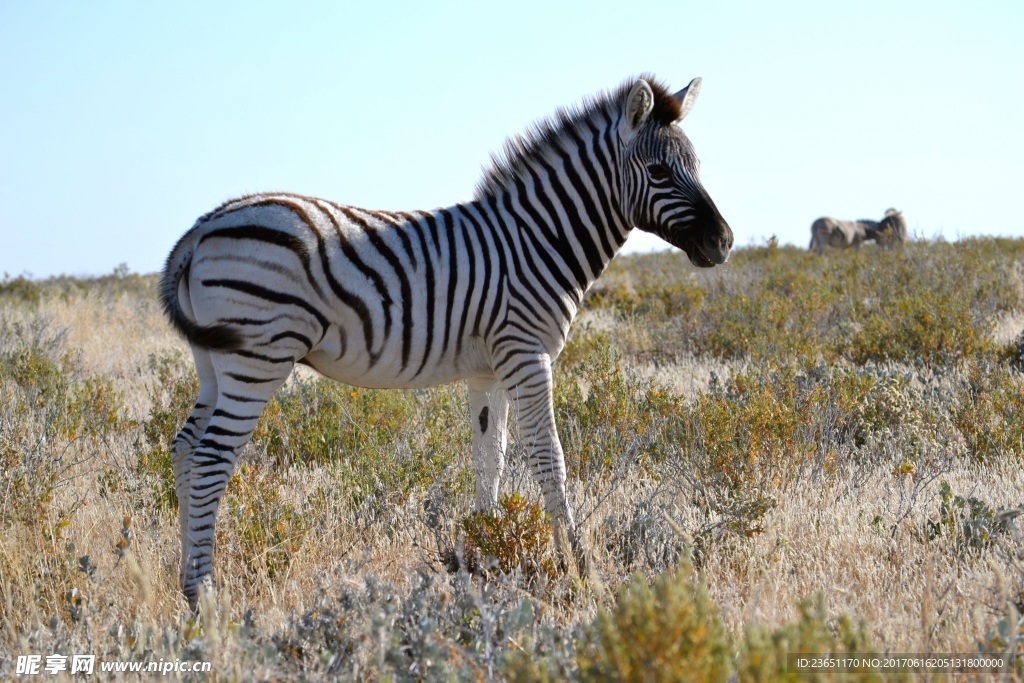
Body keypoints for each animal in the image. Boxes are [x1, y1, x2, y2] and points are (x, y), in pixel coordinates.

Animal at [159, 74, 733, 610]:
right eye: (658, 172)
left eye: (698, 166)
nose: (723, 242)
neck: (538, 239)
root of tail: (203, 227)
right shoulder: (527, 354)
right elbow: (550, 458)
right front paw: (581, 570)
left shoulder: (489, 369)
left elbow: (490, 460)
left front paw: (485, 556)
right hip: (258, 356)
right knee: (210, 459)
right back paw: (208, 598)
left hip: (213, 361)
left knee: (185, 450)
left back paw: (186, 588)